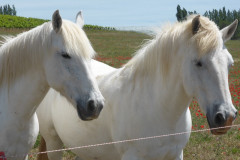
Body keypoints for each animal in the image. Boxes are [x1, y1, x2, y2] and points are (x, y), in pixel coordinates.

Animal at [37, 15, 238, 160]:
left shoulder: (175, 154)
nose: (226, 117)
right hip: (54, 143)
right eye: (198, 63)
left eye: (230, 64)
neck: (158, 109)